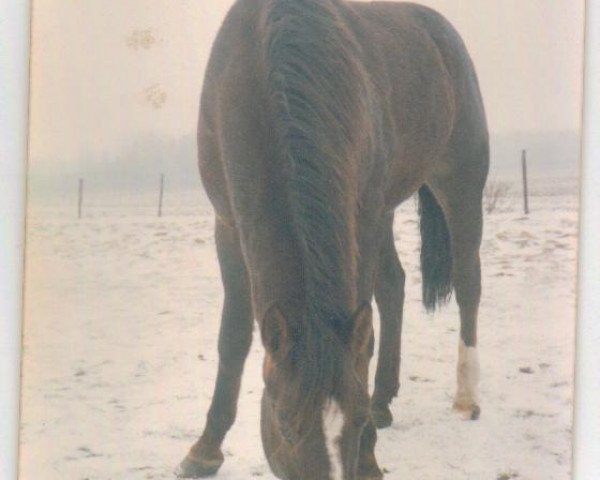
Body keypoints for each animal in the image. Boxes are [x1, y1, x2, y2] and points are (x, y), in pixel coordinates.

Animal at [177, 0, 488, 480]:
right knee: (393, 287)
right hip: (385, 208)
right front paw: (206, 448)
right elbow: (233, 338)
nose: (366, 424)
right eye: (286, 425)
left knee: (468, 282)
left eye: (353, 421)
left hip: (459, 182)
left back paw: (466, 395)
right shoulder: (227, 222)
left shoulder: (360, 214)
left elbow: (363, 342)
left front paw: (370, 453)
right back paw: (385, 400)